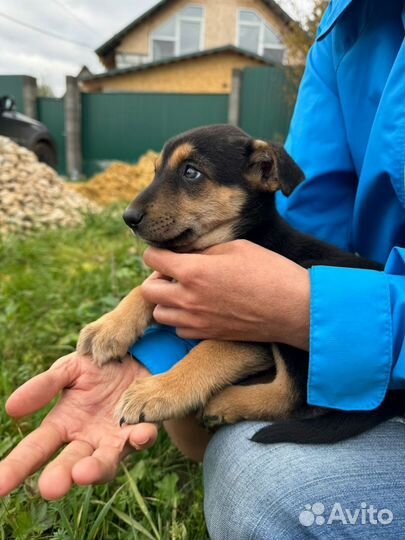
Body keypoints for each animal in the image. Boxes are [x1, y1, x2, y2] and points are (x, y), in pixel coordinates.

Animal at [77, 125, 402, 442]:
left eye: (191, 172)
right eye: (157, 171)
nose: (128, 217)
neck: (244, 236)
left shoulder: (250, 328)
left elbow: (208, 351)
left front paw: (159, 391)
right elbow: (146, 287)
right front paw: (108, 328)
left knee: (295, 397)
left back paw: (226, 402)